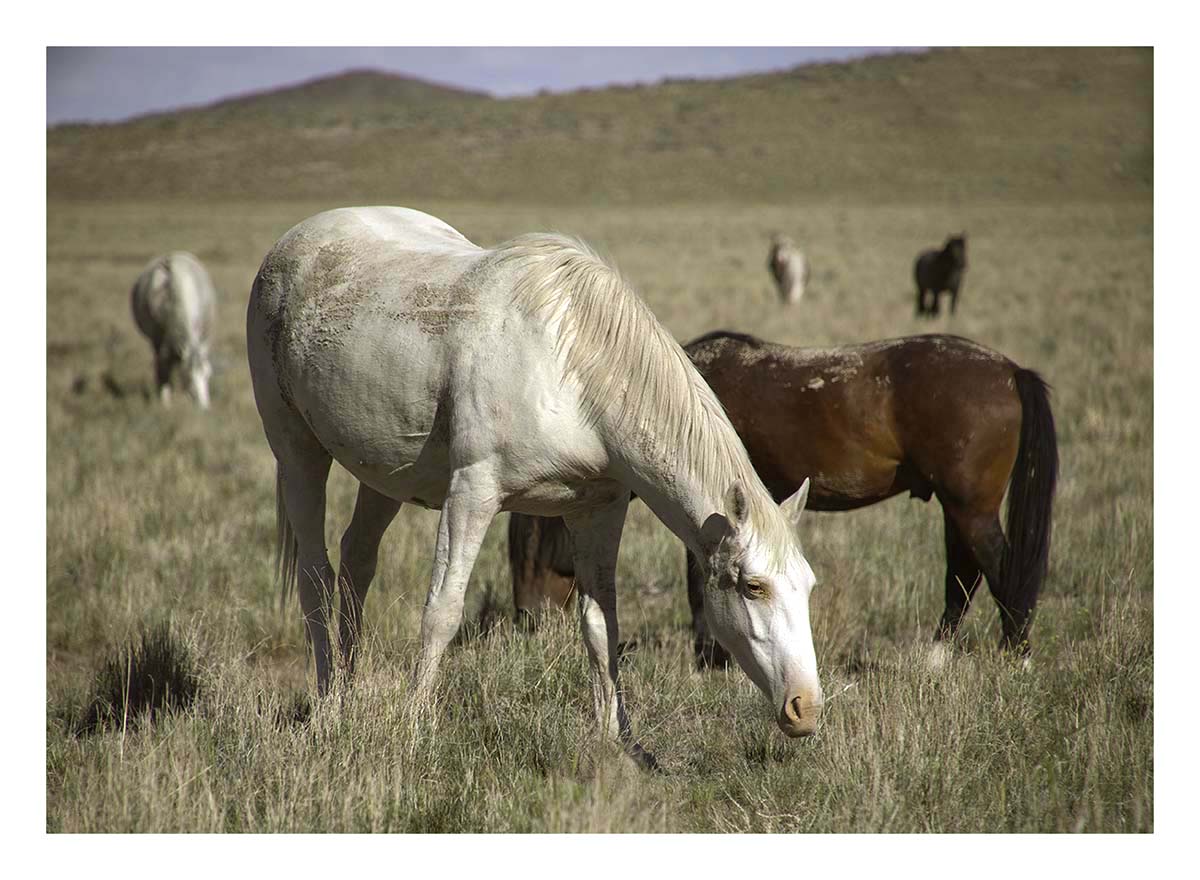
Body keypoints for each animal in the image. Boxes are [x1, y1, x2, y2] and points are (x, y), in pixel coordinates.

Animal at [130, 251, 216, 408]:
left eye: (208, 374)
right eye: (188, 376)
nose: (204, 407)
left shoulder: (203, 338)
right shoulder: (159, 341)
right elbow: (163, 368)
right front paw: (165, 402)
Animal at [246, 207, 825, 761]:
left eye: (808, 586)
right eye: (753, 586)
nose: (806, 708)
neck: (572, 370)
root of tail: (295, 240)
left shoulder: (599, 511)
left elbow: (601, 626)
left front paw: (619, 743)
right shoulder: (471, 495)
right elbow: (442, 612)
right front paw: (412, 730)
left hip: (383, 477)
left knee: (356, 563)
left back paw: (345, 693)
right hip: (297, 452)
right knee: (315, 576)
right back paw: (328, 710)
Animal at [510, 330, 1057, 665]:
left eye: (526, 553)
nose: (524, 625)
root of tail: (1010, 371)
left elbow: (696, 581)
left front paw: (709, 655)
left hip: (970, 508)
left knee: (998, 569)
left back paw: (1018, 656)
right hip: (958, 507)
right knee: (963, 575)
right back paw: (938, 657)